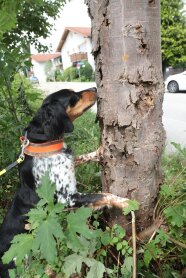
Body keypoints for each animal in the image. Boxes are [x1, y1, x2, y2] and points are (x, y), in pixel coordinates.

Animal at [0, 87, 128, 276]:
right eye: (73, 97)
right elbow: (103, 194)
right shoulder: (67, 198)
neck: (43, 142)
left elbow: (81, 158)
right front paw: (126, 202)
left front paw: (100, 150)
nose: (95, 88)